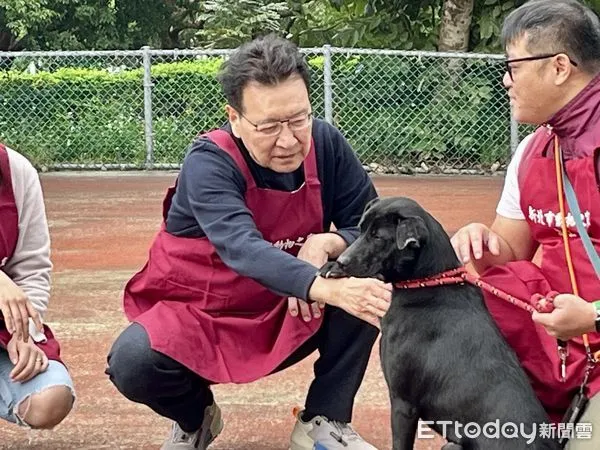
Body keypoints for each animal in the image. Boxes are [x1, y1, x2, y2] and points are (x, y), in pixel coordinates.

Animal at [322, 198, 560, 450]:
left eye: (378, 237)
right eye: (361, 229)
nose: (342, 261)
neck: (427, 282)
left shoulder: (403, 403)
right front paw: (330, 267)